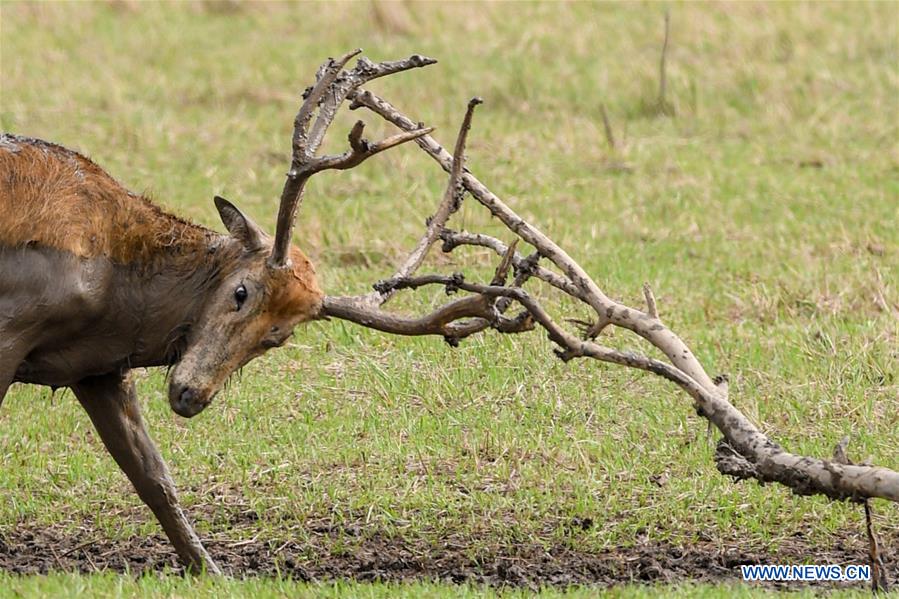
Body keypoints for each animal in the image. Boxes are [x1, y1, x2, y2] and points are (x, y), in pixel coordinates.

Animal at [0, 50, 434, 572]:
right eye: (240, 292)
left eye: (277, 336)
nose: (191, 395)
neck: (113, 292)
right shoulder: (12, 324)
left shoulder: (98, 368)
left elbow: (154, 476)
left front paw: (209, 569)